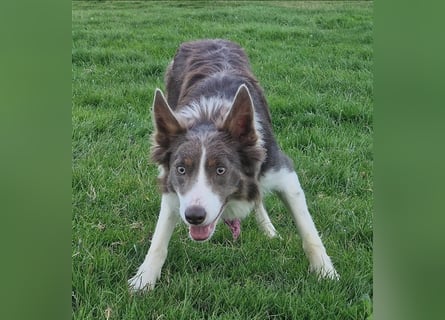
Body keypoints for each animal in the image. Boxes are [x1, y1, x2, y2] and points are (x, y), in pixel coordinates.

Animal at [128, 38, 336, 292]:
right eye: (181, 169)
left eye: (221, 170)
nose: (194, 216)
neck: (209, 117)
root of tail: (208, 38)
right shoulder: (172, 186)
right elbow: (159, 239)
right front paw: (144, 279)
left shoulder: (282, 172)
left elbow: (308, 230)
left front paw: (326, 272)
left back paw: (268, 229)